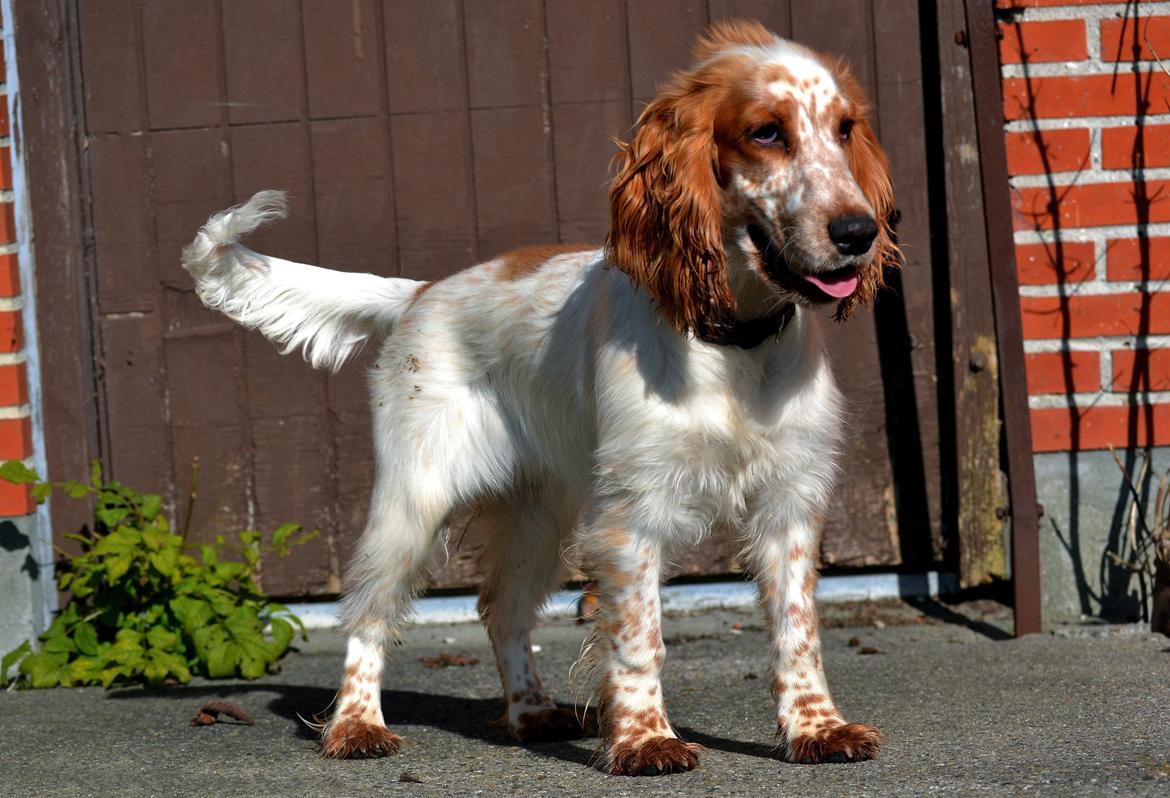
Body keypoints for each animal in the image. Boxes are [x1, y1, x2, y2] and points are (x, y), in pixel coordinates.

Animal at [182, 21, 893, 772]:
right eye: (766, 133)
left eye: (845, 128)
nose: (859, 231)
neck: (734, 342)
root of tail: (420, 292)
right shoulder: (632, 515)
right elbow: (640, 636)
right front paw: (646, 739)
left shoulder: (790, 502)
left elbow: (797, 632)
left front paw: (817, 729)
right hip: (414, 500)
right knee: (368, 611)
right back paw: (356, 725)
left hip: (537, 512)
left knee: (501, 607)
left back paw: (530, 712)